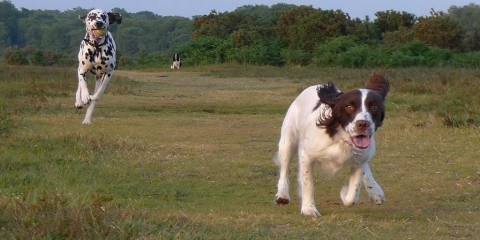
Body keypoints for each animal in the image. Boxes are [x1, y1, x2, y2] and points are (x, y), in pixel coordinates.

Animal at [274, 72, 390, 216]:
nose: (363, 124)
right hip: (288, 141)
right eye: (349, 106)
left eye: (374, 107)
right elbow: (308, 183)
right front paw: (309, 209)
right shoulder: (306, 155)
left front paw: (345, 193)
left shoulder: (359, 161)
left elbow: (352, 195)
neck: (341, 139)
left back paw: (375, 191)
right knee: (284, 169)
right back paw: (282, 195)